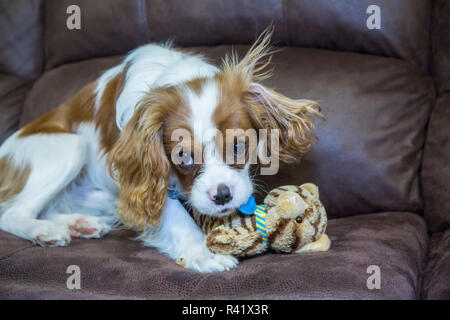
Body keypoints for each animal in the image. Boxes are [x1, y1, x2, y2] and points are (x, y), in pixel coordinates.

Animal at [0, 30, 320, 272]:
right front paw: (204, 254)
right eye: (184, 157)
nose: (222, 195)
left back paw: (81, 224)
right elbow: (174, 215)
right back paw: (43, 231)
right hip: (71, 145)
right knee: (12, 213)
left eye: (238, 146)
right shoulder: (144, 178)